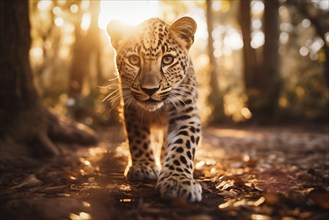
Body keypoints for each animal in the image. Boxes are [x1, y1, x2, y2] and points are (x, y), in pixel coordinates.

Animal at [106, 16, 201, 203]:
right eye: (134, 60)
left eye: (167, 60)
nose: (150, 89)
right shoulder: (132, 109)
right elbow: (138, 138)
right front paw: (143, 166)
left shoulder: (186, 115)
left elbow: (183, 145)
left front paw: (178, 181)